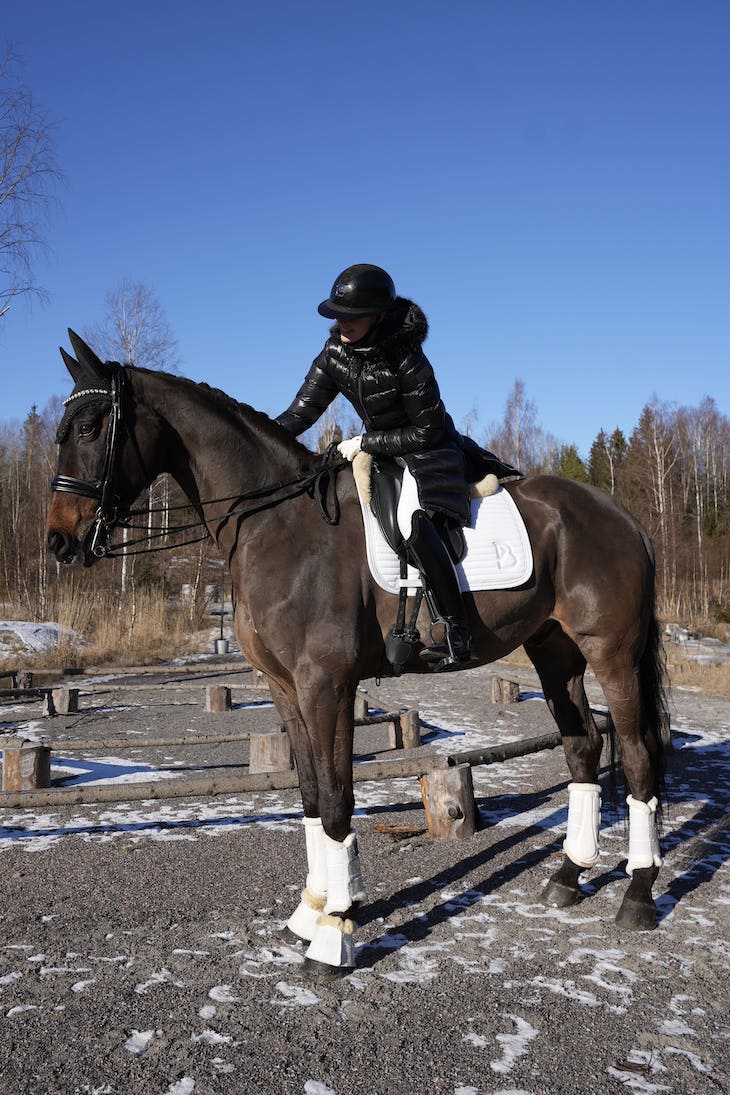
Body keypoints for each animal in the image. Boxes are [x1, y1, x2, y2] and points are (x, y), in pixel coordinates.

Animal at [45, 330, 669, 976]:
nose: (59, 541)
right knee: (583, 746)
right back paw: (568, 876)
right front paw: (312, 909)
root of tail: (622, 516)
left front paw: (335, 932)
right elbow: (311, 794)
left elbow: (338, 798)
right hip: (555, 652)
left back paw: (638, 894)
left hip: (611, 653)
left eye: (89, 427)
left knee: (638, 754)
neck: (273, 525)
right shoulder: (285, 688)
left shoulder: (327, 684)